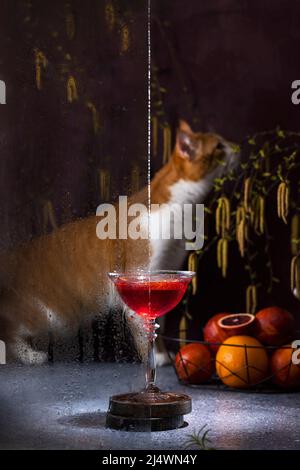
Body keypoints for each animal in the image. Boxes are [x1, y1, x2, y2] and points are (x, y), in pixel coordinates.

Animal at [0, 120, 237, 364]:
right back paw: (31, 356)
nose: (236, 148)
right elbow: (145, 329)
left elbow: (158, 322)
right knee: (9, 330)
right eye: (219, 146)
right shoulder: (141, 275)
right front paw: (159, 358)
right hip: (55, 315)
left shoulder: (166, 275)